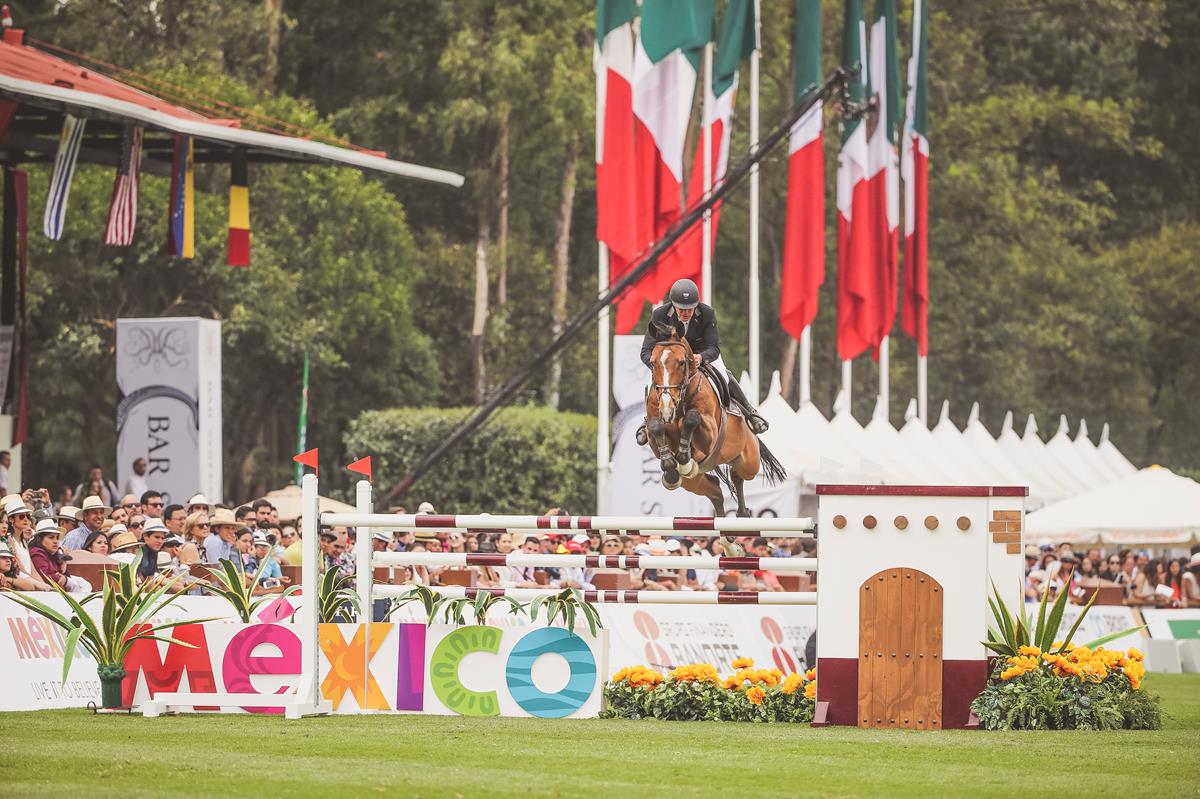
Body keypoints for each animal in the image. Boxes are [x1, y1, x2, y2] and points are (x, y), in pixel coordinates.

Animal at [644, 320, 786, 521]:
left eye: (681, 362)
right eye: (652, 362)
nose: (666, 406)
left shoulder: (709, 436)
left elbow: (691, 418)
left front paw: (684, 456)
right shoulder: (656, 430)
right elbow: (656, 427)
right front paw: (671, 465)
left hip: (750, 462)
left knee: (738, 474)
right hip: (691, 481)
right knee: (715, 489)